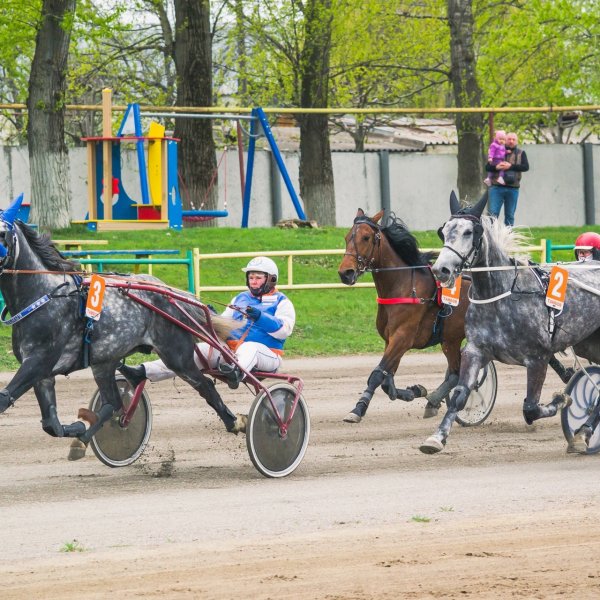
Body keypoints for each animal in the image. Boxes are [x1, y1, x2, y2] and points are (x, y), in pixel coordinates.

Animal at [0, 195, 245, 452]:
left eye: (3, 234)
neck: (44, 295)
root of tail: (168, 291)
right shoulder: (41, 371)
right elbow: (51, 424)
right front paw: (77, 428)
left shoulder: (39, 362)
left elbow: (5, 401)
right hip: (104, 361)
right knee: (113, 403)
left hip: (176, 354)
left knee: (205, 384)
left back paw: (233, 421)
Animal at [338, 209, 474, 424]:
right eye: (347, 237)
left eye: (366, 237)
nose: (345, 273)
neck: (402, 286)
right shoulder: (391, 340)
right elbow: (387, 380)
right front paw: (414, 391)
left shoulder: (403, 337)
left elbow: (377, 375)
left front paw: (358, 409)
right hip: (449, 340)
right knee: (454, 373)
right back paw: (433, 401)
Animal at [420, 193, 600, 454]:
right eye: (443, 231)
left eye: (469, 232)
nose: (441, 269)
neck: (501, 295)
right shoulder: (476, 351)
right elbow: (459, 395)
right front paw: (436, 437)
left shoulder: (538, 357)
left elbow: (531, 408)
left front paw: (561, 399)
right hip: (589, 344)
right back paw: (585, 431)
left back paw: (584, 431)